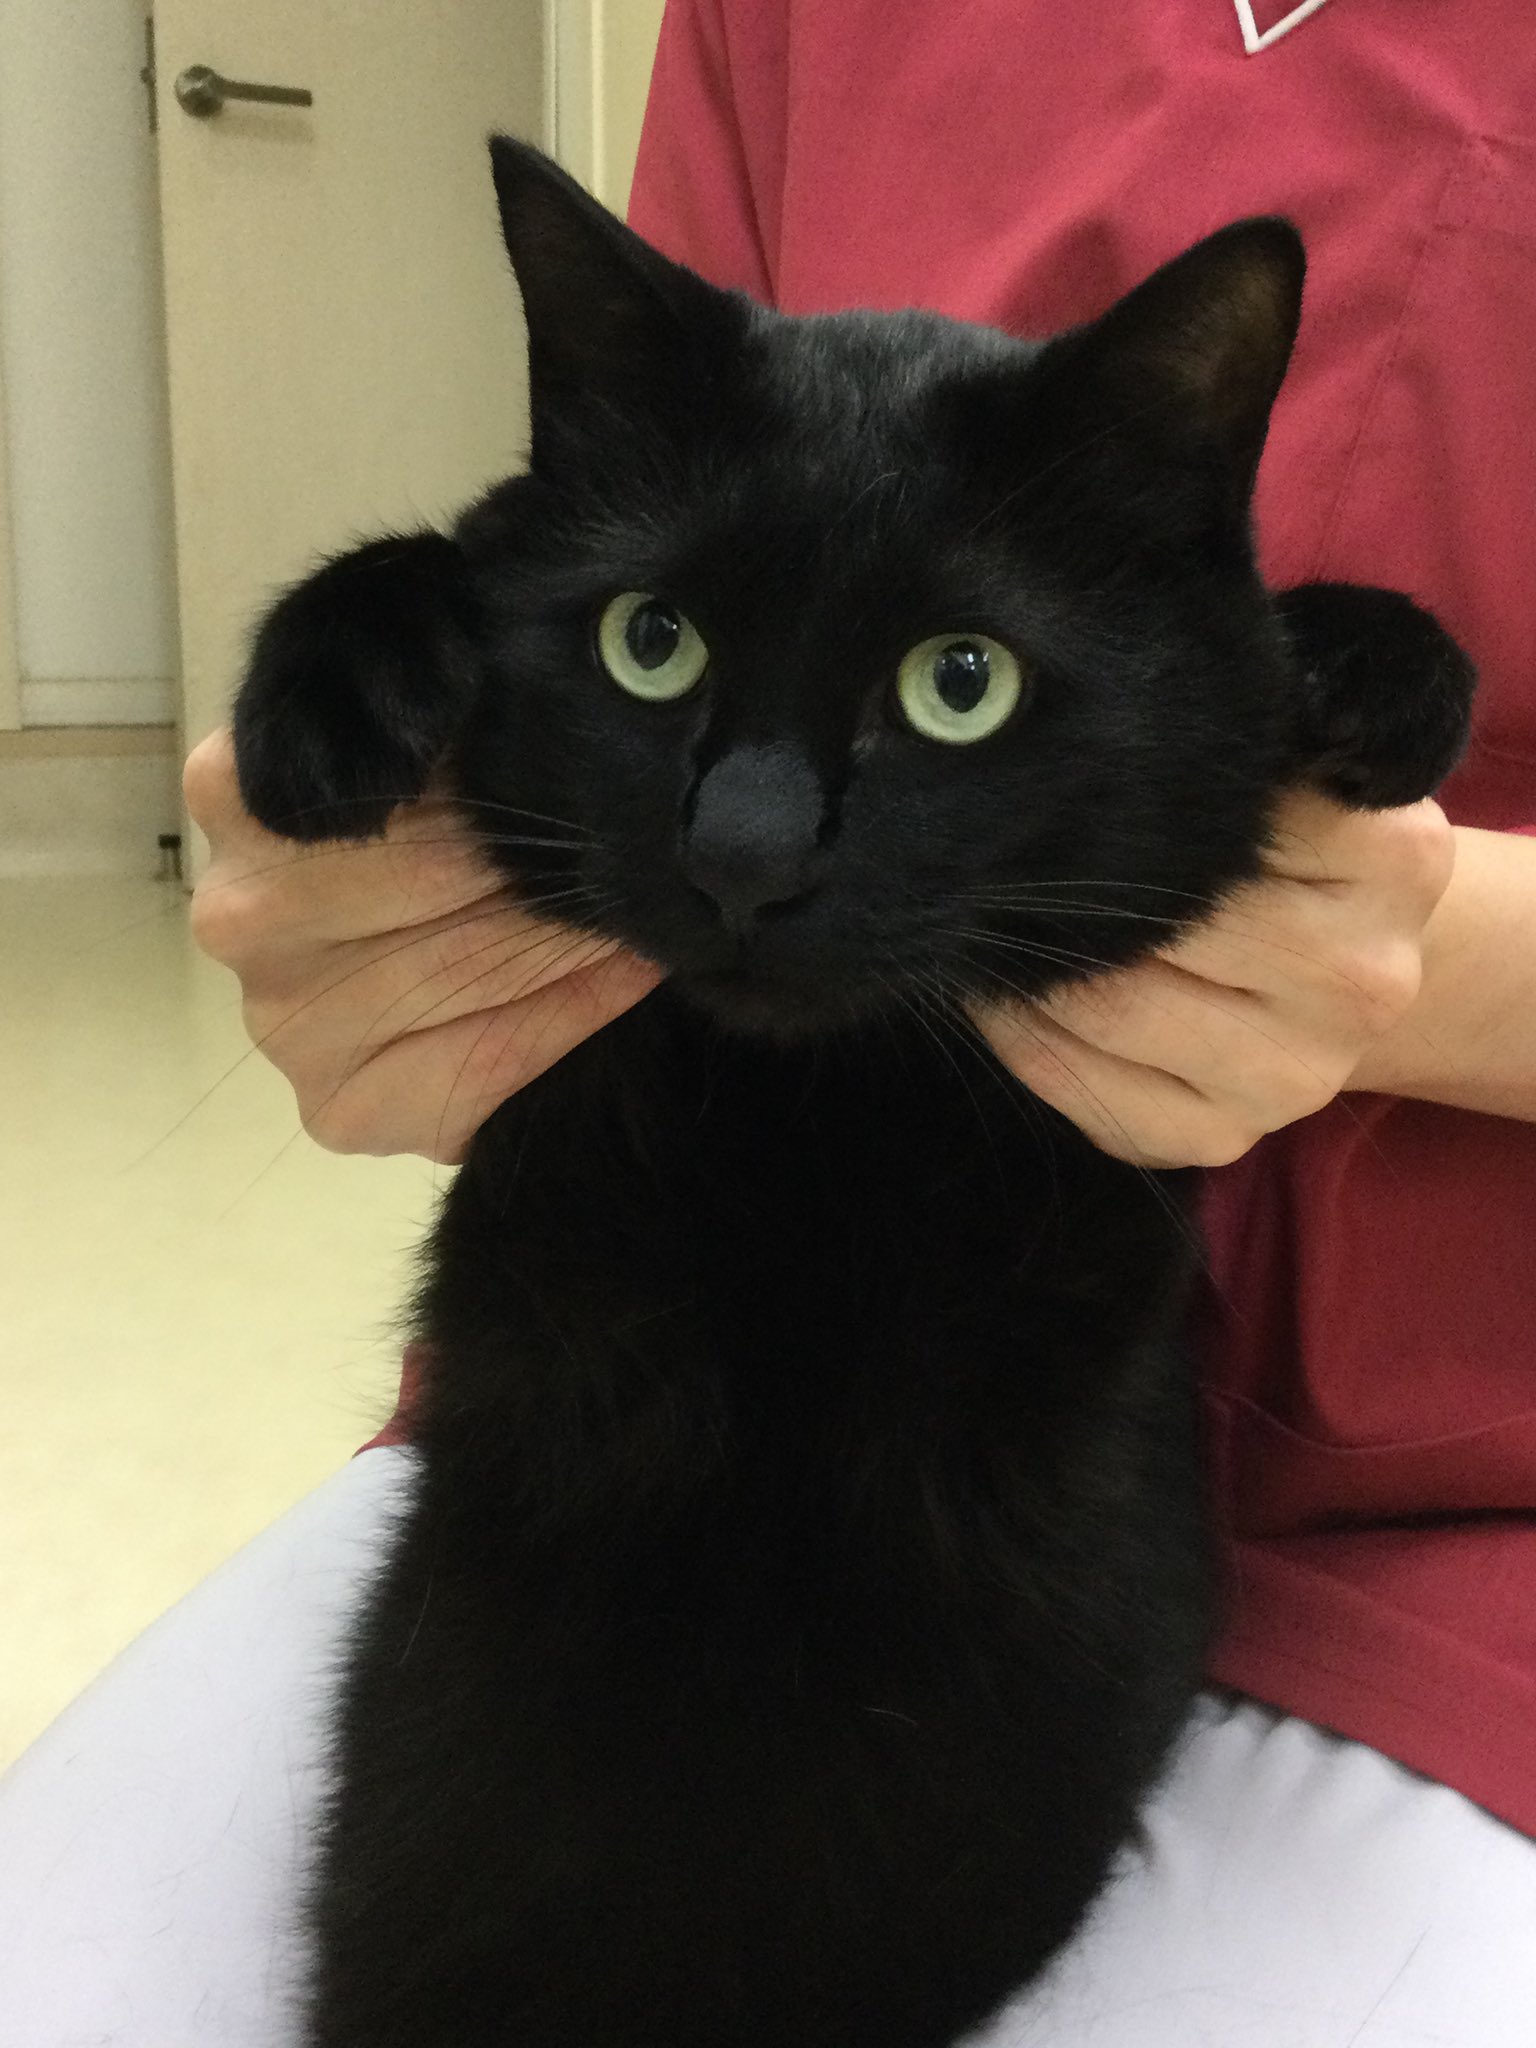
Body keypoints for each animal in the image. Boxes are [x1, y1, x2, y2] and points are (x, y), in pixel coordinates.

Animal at [234, 138, 1473, 2048]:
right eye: (649, 641)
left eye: (961, 682)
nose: (743, 855)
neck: (806, 1112)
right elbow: (450, 554)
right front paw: (337, 688)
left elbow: (1260, 648)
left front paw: (1374, 673)